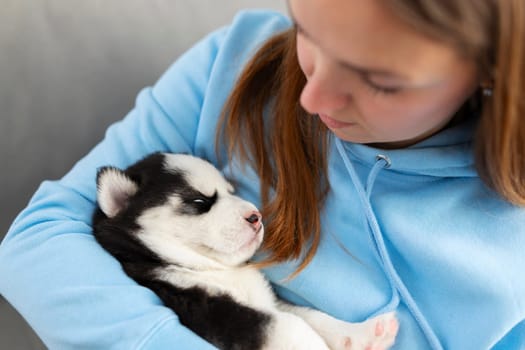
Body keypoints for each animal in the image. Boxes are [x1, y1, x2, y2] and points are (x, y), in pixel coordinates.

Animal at [93, 153, 398, 350]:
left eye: (231, 192)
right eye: (200, 202)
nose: (256, 216)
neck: (215, 270)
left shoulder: (268, 301)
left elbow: (310, 315)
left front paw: (362, 334)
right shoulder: (206, 309)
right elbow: (290, 326)